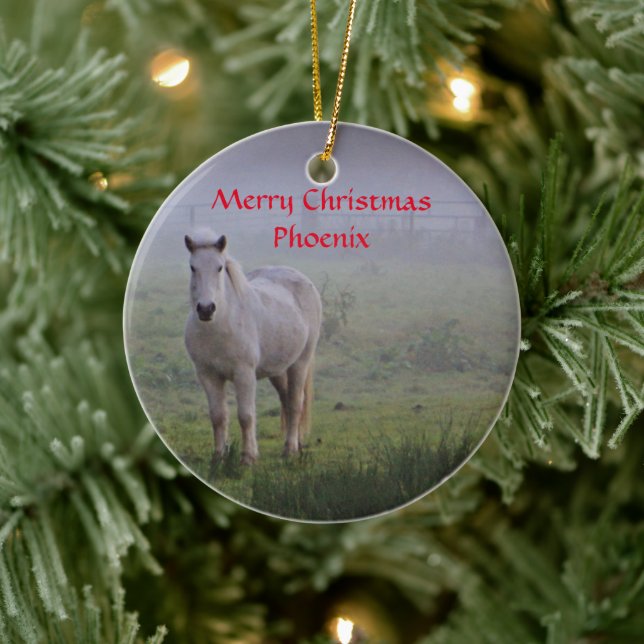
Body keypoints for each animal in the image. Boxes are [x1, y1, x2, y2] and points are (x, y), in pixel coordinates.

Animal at [183, 229, 322, 467]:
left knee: (295, 403)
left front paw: (248, 457)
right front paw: (219, 456)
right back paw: (292, 444)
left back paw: (290, 449)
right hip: (277, 370)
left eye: (219, 267)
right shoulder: (208, 375)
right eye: (193, 267)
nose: (206, 309)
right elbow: (218, 416)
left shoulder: (244, 374)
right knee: (286, 401)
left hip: (300, 363)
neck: (219, 326)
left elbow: (245, 416)